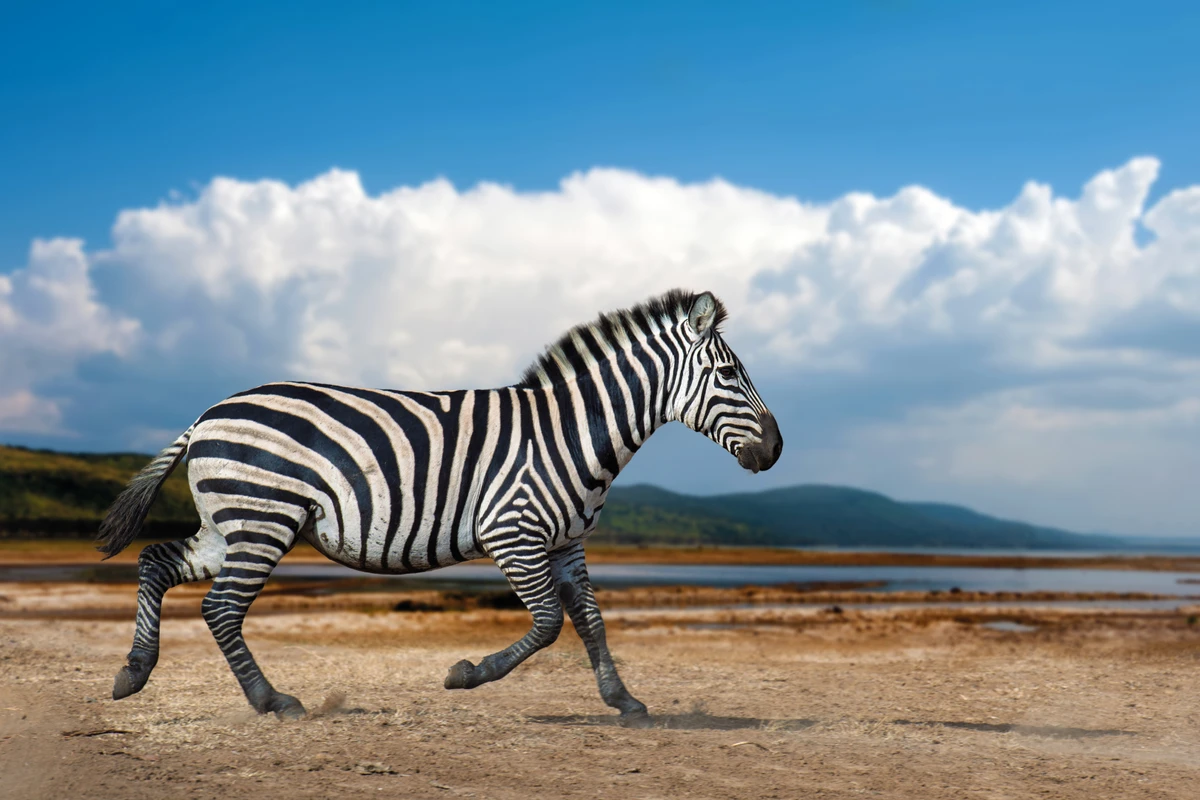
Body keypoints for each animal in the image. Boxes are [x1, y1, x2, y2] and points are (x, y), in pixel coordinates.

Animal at [98, 289, 782, 726]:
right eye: (729, 374)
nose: (776, 450)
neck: (570, 433)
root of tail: (207, 414)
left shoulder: (566, 541)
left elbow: (591, 621)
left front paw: (624, 701)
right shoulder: (513, 532)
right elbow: (548, 625)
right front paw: (466, 674)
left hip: (231, 524)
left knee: (157, 563)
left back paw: (134, 672)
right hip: (263, 518)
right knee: (220, 609)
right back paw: (273, 702)